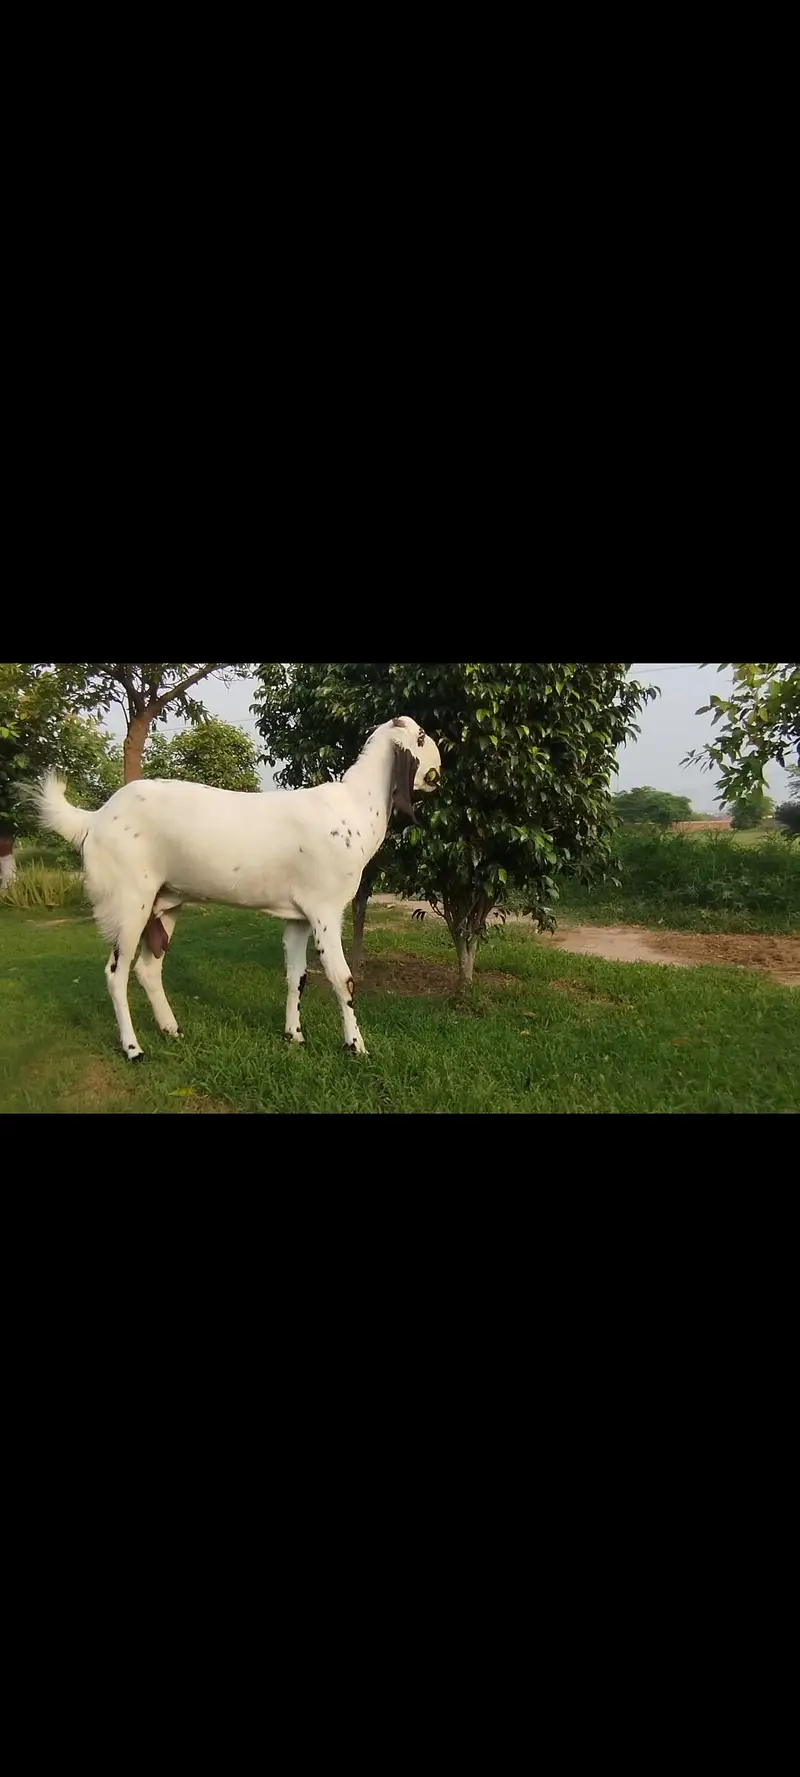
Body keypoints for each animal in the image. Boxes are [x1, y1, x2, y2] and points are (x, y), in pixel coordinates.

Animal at [31, 715, 442, 1061]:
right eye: (421, 737)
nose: (438, 773)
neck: (353, 807)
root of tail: (94, 819)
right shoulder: (325, 911)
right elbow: (344, 980)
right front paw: (356, 1047)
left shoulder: (299, 917)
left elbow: (298, 976)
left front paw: (294, 1036)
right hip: (130, 903)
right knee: (115, 973)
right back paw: (133, 1048)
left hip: (165, 905)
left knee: (148, 969)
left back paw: (170, 1029)